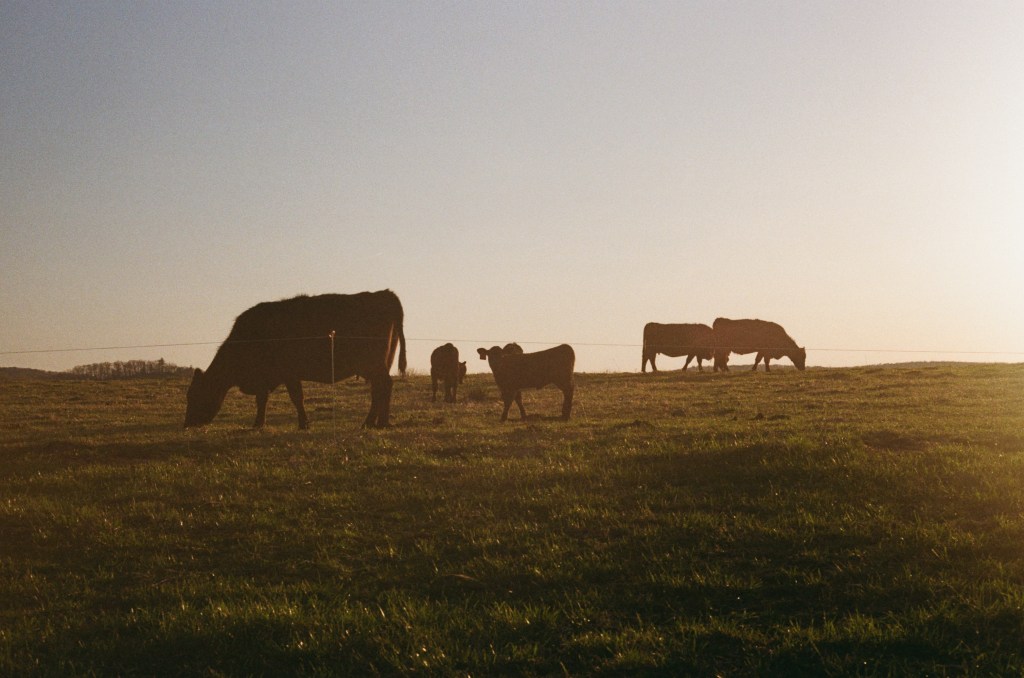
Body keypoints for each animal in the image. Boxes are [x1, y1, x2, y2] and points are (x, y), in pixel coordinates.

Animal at [185, 290, 406, 429]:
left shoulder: (288, 373)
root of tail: (385, 293)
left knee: (383, 387)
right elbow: (262, 399)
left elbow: (296, 397)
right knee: (381, 389)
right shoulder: (266, 379)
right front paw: (259, 423)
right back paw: (380, 423)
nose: (187, 424)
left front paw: (303, 424)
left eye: (195, 395)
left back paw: (371, 423)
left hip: (374, 364)